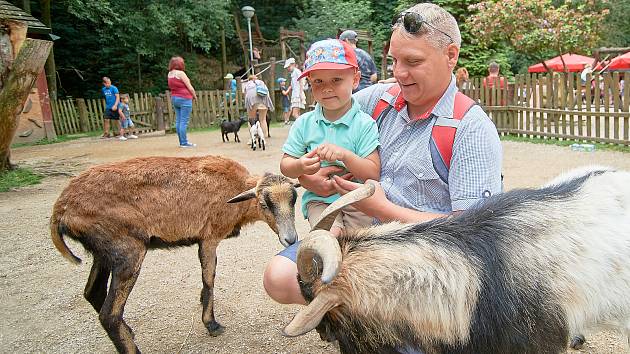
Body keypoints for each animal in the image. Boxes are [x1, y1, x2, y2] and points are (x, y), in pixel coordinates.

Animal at [50, 156, 300, 354]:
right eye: (264, 203)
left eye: (293, 200)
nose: (290, 239)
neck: (235, 192)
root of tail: (61, 207)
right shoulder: (209, 237)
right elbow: (209, 278)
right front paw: (211, 323)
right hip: (129, 251)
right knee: (109, 316)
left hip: (104, 252)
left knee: (93, 293)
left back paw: (128, 331)